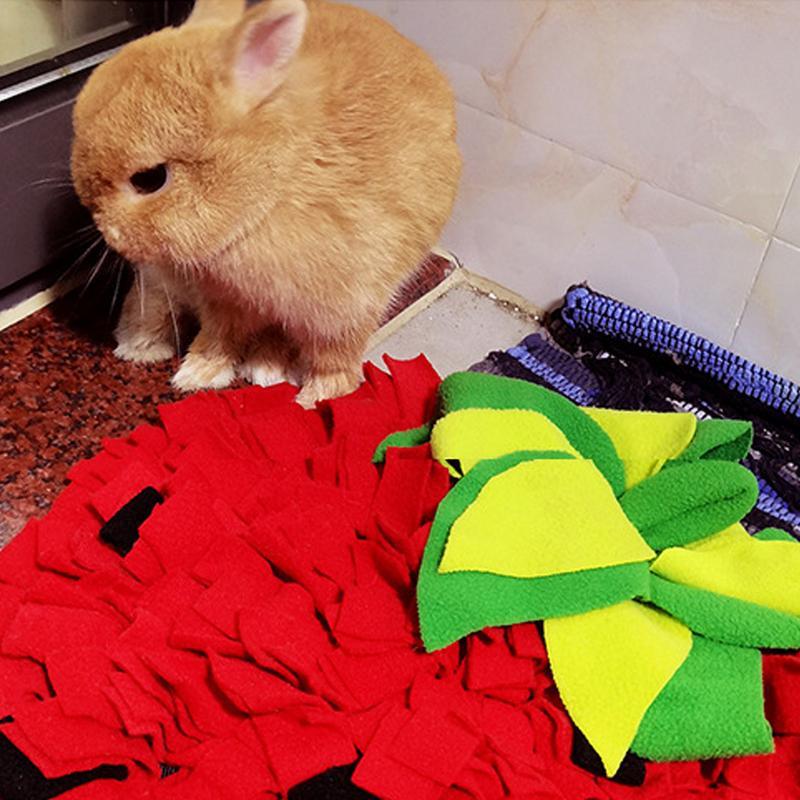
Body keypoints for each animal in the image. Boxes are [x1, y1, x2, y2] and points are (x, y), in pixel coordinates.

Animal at [70, 0, 461, 406]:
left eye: (150, 179)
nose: (107, 232)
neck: (266, 192)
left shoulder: (344, 308)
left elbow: (333, 359)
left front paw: (316, 399)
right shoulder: (223, 300)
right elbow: (218, 336)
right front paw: (197, 375)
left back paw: (265, 371)